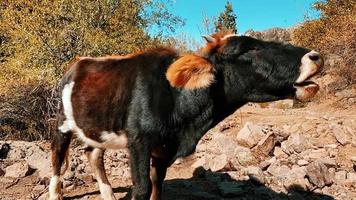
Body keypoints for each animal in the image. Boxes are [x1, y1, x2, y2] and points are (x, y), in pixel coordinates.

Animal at [48, 30, 324, 200]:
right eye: (248, 51)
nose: (315, 56)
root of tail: (78, 63)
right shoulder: (139, 141)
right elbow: (142, 187)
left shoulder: (164, 150)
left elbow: (157, 184)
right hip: (62, 123)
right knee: (58, 160)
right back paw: (56, 193)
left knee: (93, 154)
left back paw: (108, 194)